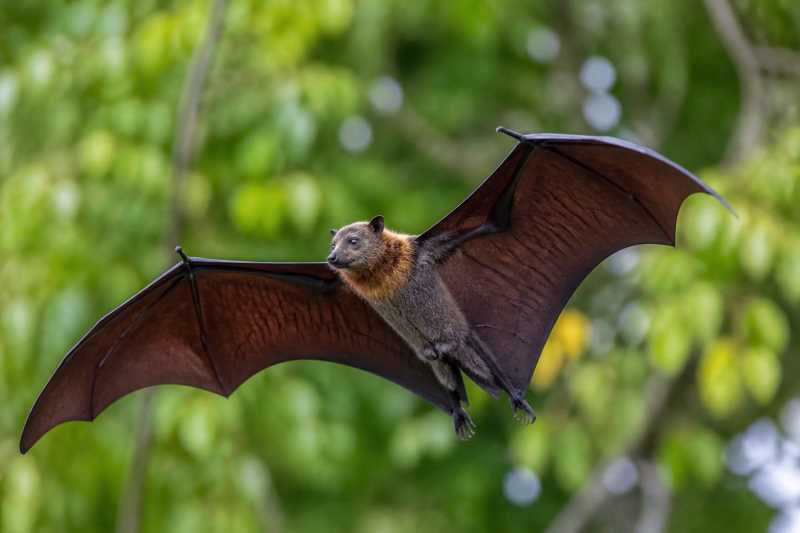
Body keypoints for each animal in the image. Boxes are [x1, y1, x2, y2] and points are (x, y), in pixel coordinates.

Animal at [327, 215, 536, 439]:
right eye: (333, 244)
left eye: (353, 241)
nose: (332, 257)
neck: (377, 274)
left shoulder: (426, 250)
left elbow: (480, 228)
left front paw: (497, 218)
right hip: (434, 356)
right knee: (448, 378)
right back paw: (459, 416)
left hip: (459, 334)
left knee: (483, 354)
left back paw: (517, 399)